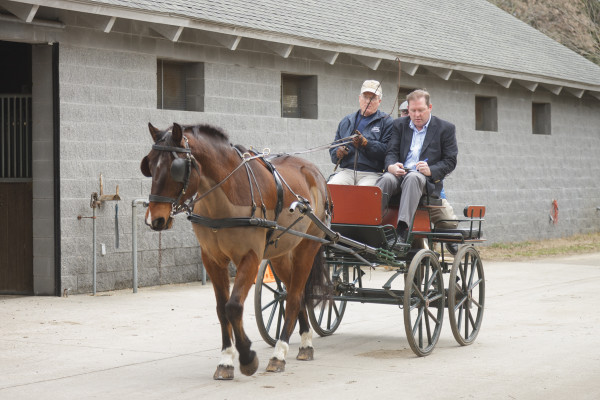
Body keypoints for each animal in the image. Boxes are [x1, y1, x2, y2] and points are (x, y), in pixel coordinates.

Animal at [139, 123, 330, 380]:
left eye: (175, 168)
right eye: (148, 165)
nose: (155, 219)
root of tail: (313, 171)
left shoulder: (250, 257)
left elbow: (234, 306)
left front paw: (247, 357)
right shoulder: (212, 260)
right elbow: (222, 309)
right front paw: (226, 360)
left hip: (307, 247)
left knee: (294, 297)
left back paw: (279, 354)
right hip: (280, 254)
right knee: (293, 293)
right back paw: (305, 342)